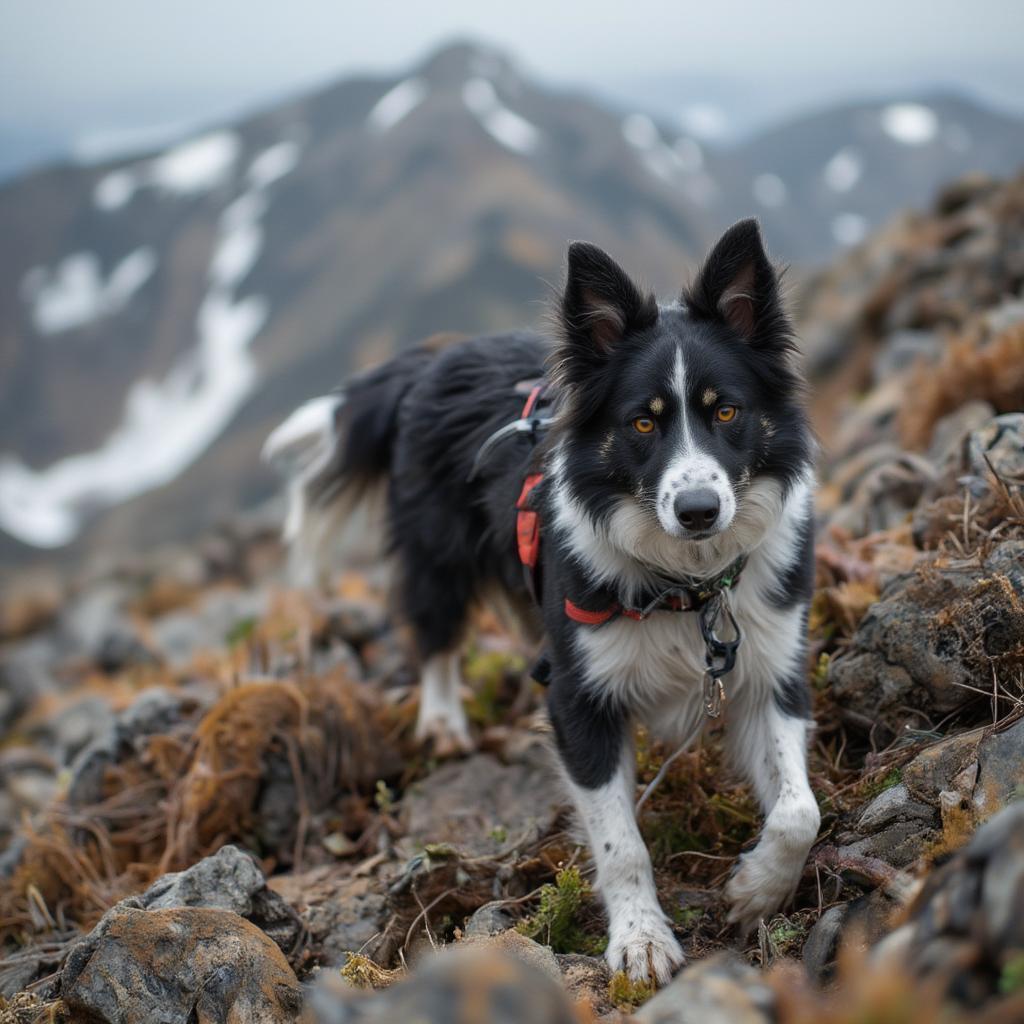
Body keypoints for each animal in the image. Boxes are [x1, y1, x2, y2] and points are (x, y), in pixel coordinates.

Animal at [266, 222, 823, 983]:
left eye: (727, 411)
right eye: (642, 425)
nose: (699, 511)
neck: (686, 584)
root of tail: (433, 360)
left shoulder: (770, 667)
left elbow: (801, 812)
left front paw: (758, 888)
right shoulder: (574, 695)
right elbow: (621, 843)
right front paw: (641, 940)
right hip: (438, 555)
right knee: (433, 634)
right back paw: (444, 723)